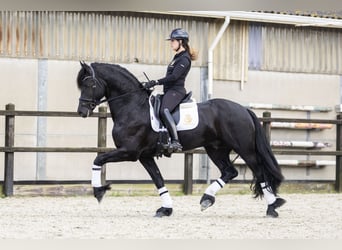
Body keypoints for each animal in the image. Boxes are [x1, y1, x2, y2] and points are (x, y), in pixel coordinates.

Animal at [77, 62, 286, 217]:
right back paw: (207, 199)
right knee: (230, 171)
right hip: (216, 149)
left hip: (245, 149)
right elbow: (158, 180)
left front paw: (99, 191)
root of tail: (243, 109)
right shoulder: (145, 156)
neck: (133, 106)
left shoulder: (129, 152)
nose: (81, 111)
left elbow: (98, 159)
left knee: (259, 172)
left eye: (90, 84)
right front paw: (166, 209)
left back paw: (272, 207)